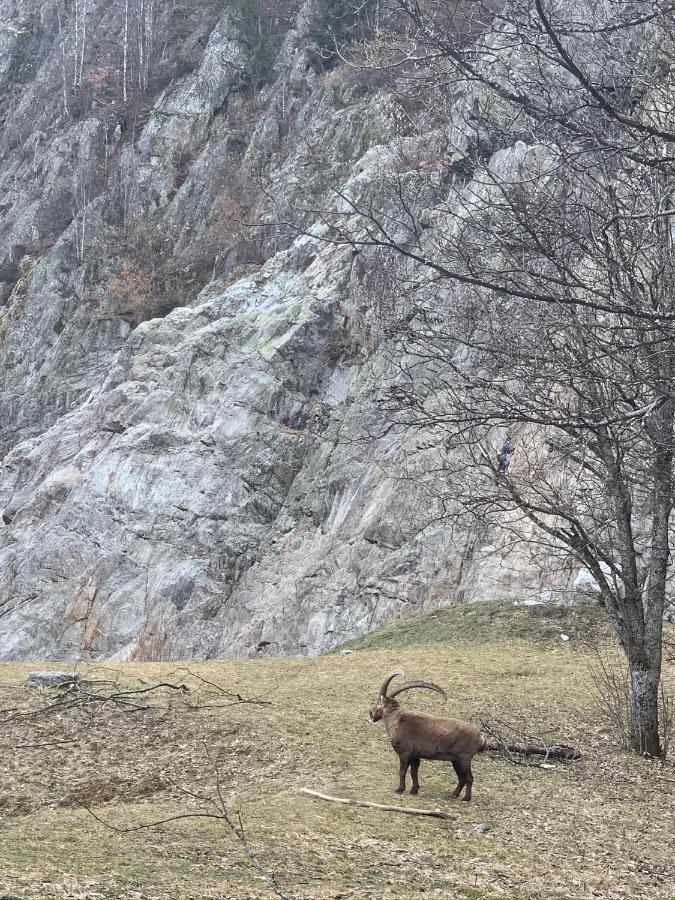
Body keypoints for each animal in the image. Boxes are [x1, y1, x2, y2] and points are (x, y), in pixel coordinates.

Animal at [370, 668, 492, 800]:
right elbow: (414, 773)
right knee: (462, 778)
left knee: (469, 778)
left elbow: (402, 771)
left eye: (378, 702)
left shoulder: (404, 753)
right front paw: (414, 790)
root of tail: (480, 736)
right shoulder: (415, 755)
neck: (396, 720)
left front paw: (400, 789)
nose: (370, 712)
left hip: (464, 759)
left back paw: (466, 798)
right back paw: (453, 795)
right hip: (456, 761)